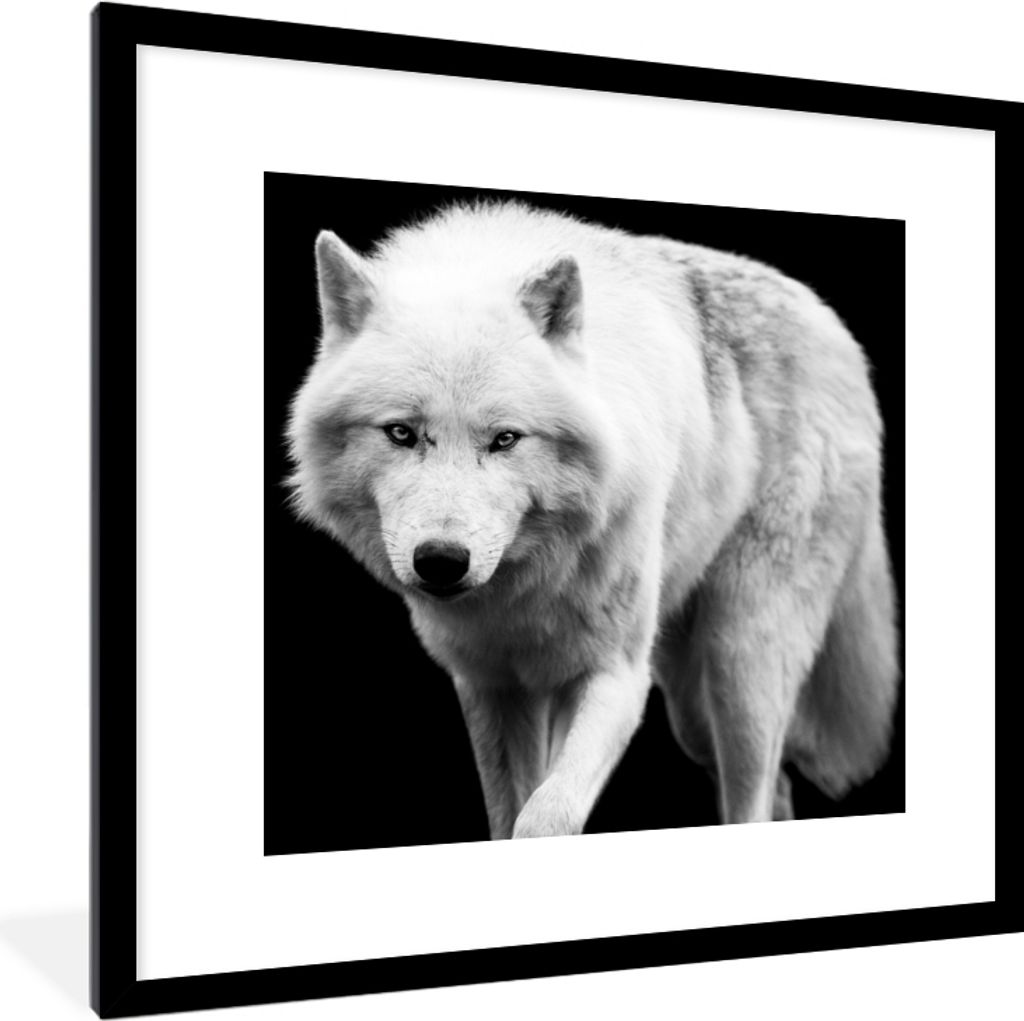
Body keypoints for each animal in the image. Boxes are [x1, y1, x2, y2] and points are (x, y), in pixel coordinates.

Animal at [286, 201, 900, 839]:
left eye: (505, 439)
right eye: (402, 433)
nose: (442, 562)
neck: (526, 586)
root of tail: (830, 323)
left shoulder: (617, 677)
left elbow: (543, 817)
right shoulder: (492, 686)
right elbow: (509, 812)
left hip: (740, 665)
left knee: (754, 792)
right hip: (691, 710)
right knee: (774, 786)